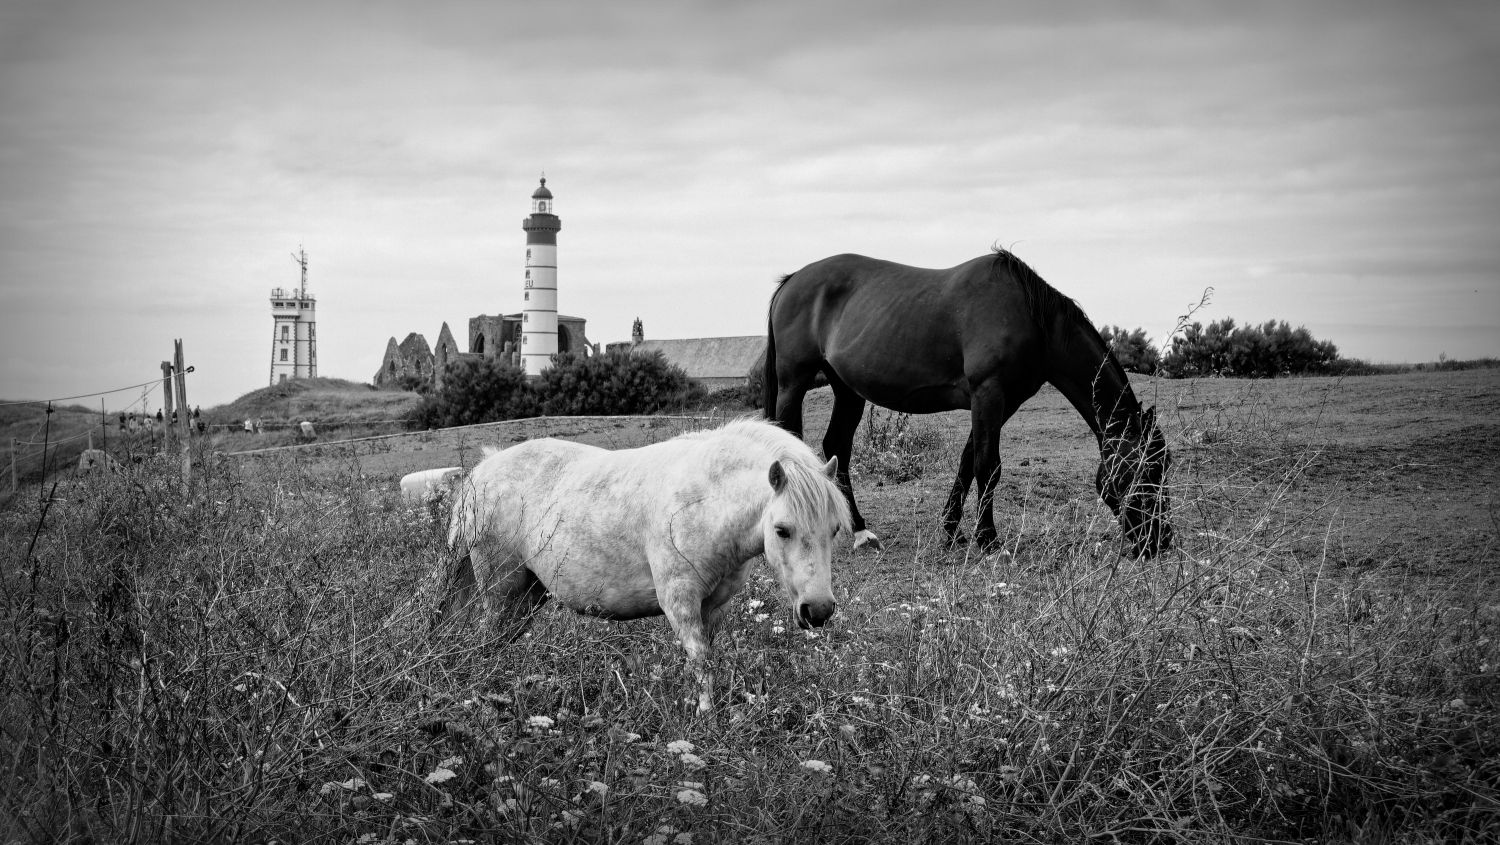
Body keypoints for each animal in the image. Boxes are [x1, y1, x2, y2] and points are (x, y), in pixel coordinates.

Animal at [439, 418, 850, 712]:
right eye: (782, 530)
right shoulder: (679, 602)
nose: (818, 610)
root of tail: (482, 470)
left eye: (834, 529)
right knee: (488, 637)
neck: (704, 501)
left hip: (528, 594)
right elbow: (701, 663)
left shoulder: (714, 607)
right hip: (501, 590)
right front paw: (706, 721)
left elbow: (705, 660)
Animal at [765, 248, 1172, 559]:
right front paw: (988, 539)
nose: (1159, 541)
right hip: (794, 381)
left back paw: (861, 531)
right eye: (1146, 471)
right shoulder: (988, 393)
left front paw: (951, 531)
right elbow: (988, 465)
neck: (1031, 319)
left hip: (847, 390)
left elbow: (968, 462)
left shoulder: (1003, 402)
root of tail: (794, 280)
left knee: (838, 446)